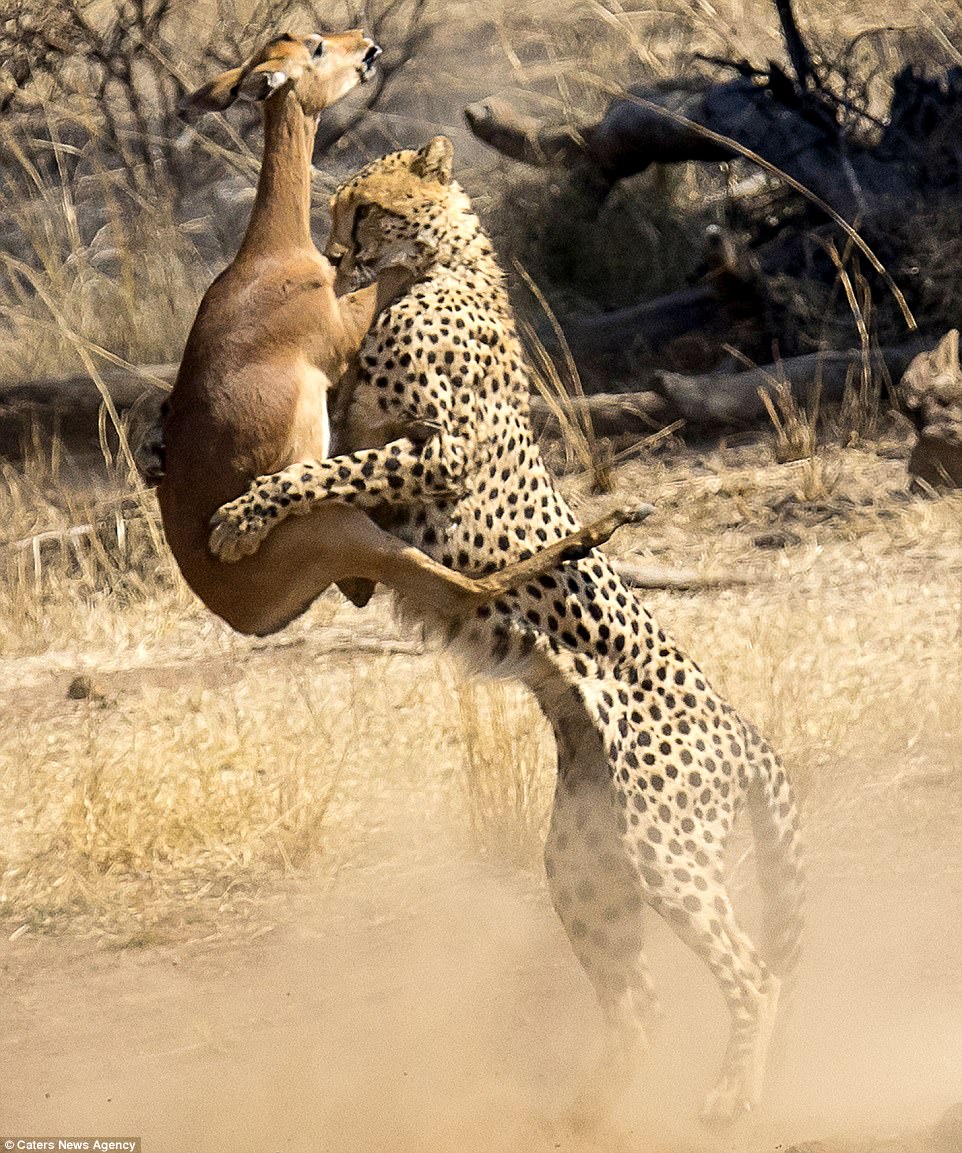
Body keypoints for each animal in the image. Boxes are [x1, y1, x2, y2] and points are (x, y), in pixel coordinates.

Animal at [207, 137, 802, 1125]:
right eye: (334, 212)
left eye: (364, 208)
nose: (335, 255)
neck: (436, 264)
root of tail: (743, 726)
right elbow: (335, 465)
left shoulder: (436, 452)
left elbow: (323, 472)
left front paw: (241, 515)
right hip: (585, 862)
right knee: (638, 1000)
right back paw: (582, 1117)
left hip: (666, 849)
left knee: (754, 972)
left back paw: (728, 1097)